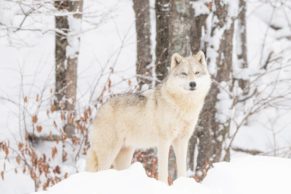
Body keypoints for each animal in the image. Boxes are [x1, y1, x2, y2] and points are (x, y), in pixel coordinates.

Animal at [85, 50, 211, 183]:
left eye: (197, 73)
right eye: (184, 73)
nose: (193, 84)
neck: (183, 106)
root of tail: (99, 110)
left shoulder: (182, 141)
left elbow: (182, 169)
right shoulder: (164, 141)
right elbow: (164, 170)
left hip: (125, 154)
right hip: (108, 153)